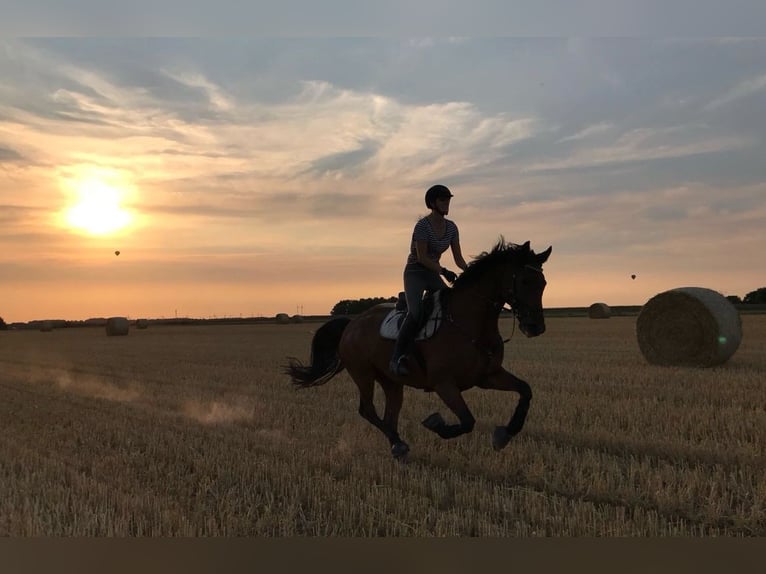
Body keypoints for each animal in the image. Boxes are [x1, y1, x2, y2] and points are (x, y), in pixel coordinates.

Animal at [284, 236, 552, 462]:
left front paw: (504, 435)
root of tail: (352, 323)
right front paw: (436, 423)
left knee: (389, 413)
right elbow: (467, 421)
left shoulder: (488, 376)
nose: (535, 327)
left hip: (391, 381)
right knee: (367, 410)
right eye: (525, 281)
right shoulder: (444, 384)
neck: (470, 323)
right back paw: (398, 443)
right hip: (362, 374)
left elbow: (525, 391)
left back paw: (397, 446)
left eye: (543, 283)